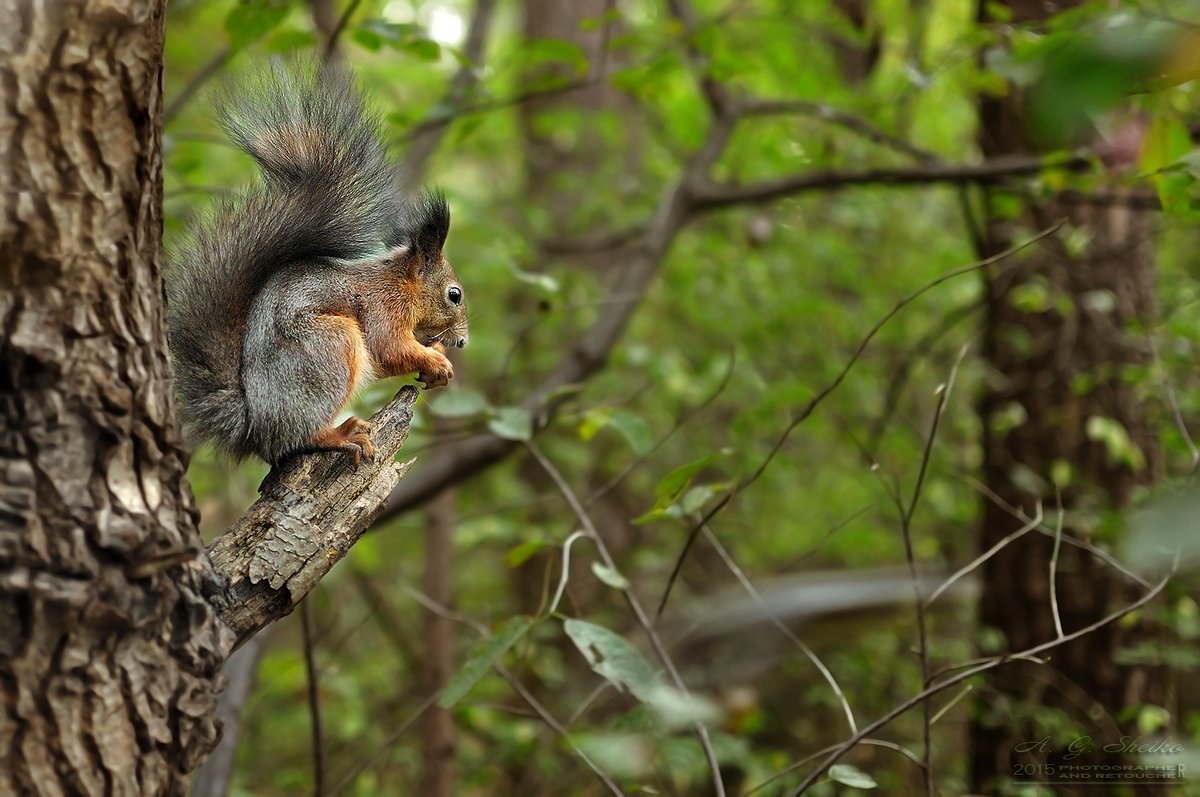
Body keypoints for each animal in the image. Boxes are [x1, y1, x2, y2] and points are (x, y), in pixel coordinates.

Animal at [166, 65, 465, 463]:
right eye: (454, 295)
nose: (462, 341)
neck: (400, 282)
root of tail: (256, 426)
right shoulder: (383, 308)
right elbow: (388, 348)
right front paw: (435, 360)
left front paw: (436, 357)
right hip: (329, 349)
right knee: (297, 438)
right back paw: (339, 433)